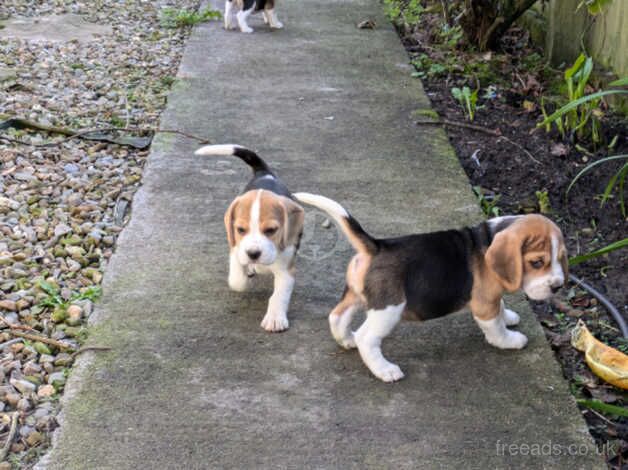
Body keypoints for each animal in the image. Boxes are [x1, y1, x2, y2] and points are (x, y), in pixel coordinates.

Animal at [196, 145, 304, 332]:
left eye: (271, 230)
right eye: (240, 230)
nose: (253, 254)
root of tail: (264, 173)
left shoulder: (286, 270)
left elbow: (279, 295)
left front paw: (275, 318)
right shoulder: (236, 249)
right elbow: (237, 281)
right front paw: (245, 276)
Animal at [294, 193, 568, 384]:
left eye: (560, 258)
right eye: (537, 262)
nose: (557, 286)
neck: (489, 239)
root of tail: (376, 246)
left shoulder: (492, 297)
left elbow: (500, 307)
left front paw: (508, 316)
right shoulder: (484, 304)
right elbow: (495, 326)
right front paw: (509, 339)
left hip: (356, 296)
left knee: (337, 316)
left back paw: (346, 340)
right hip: (388, 309)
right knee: (367, 337)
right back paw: (384, 370)